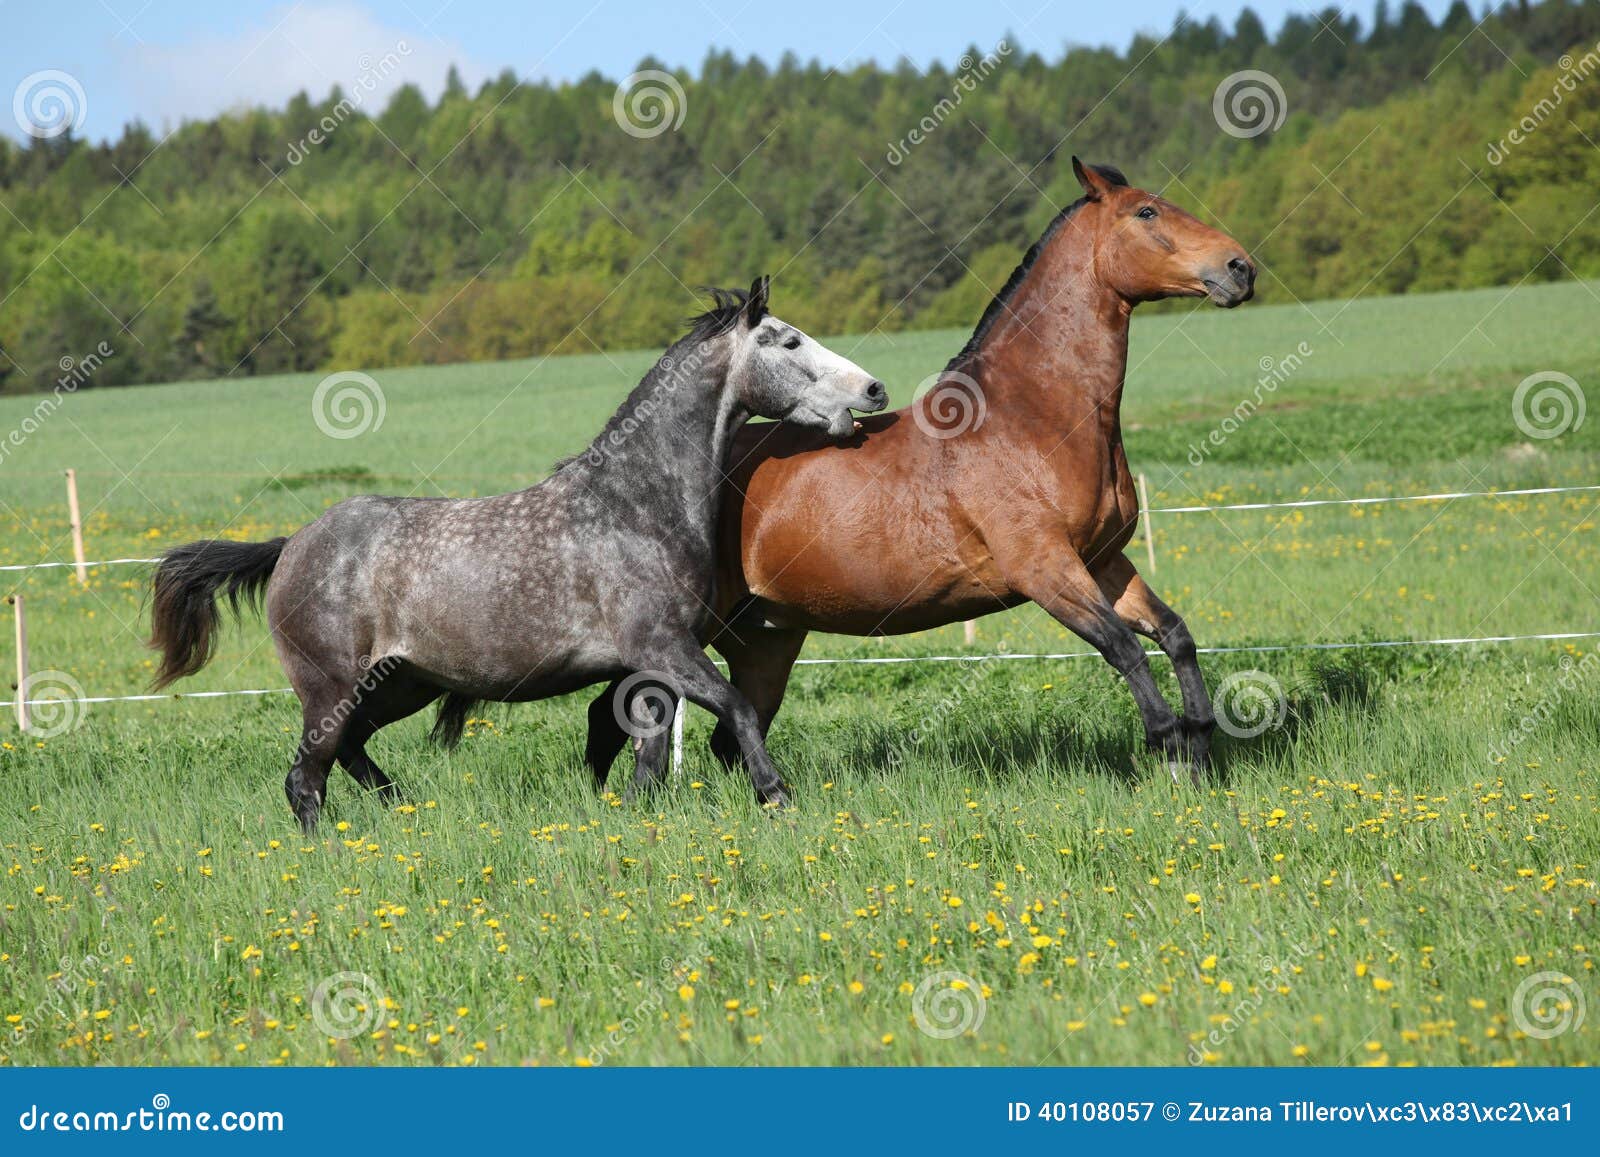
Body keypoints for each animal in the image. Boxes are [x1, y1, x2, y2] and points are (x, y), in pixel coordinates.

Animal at [147, 277, 888, 829]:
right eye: (787, 339)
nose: (874, 389)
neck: (633, 506)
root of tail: (292, 546)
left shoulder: (649, 665)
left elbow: (646, 746)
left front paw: (638, 814)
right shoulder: (666, 647)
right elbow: (735, 707)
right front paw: (776, 796)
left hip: (401, 683)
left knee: (349, 751)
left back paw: (404, 808)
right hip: (329, 686)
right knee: (306, 777)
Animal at [584, 160, 1256, 791]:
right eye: (1147, 212)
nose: (1241, 268)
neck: (1031, 418)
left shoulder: (1103, 560)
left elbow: (1175, 634)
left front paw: (1199, 749)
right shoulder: (1046, 569)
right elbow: (1126, 650)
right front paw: (1170, 755)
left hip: (766, 638)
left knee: (705, 731)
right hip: (678, 633)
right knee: (626, 713)